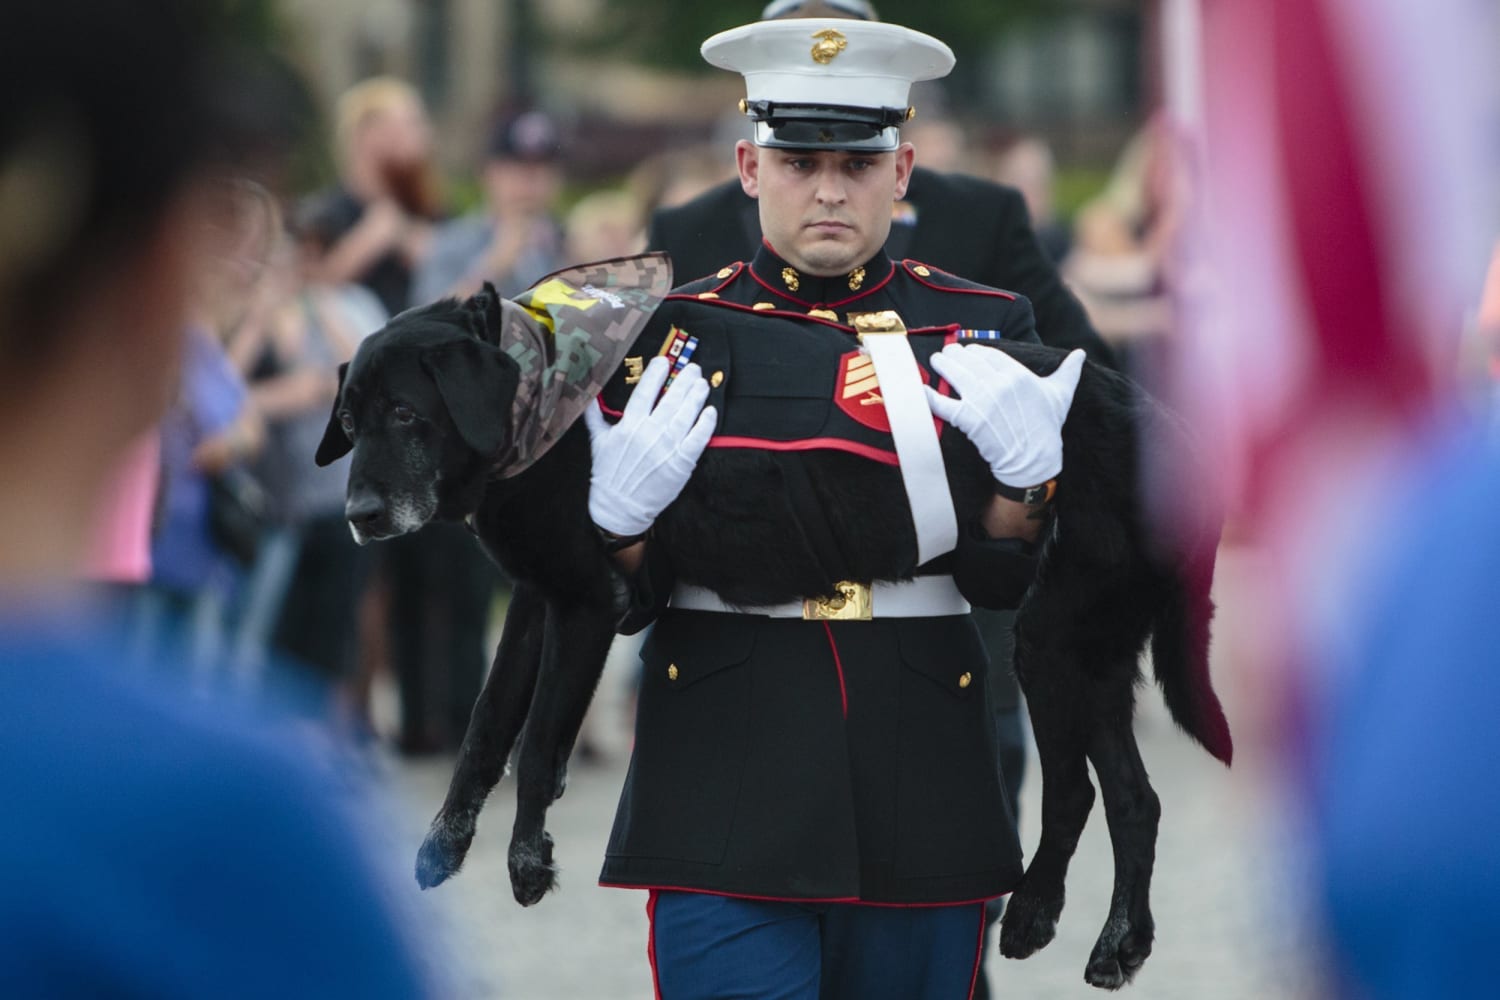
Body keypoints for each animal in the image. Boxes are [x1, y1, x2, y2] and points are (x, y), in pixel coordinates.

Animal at [319, 265, 1230, 995]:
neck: (545, 385)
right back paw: (1112, 940)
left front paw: (527, 859)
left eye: (406, 414)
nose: (359, 518)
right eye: (354, 421)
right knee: (1132, 800)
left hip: (1052, 643)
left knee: (1079, 790)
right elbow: (486, 727)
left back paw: (1043, 910)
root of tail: (1174, 430)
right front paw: (444, 842)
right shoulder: (540, 599)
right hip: (1089, 655)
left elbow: (539, 742)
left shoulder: (586, 601)